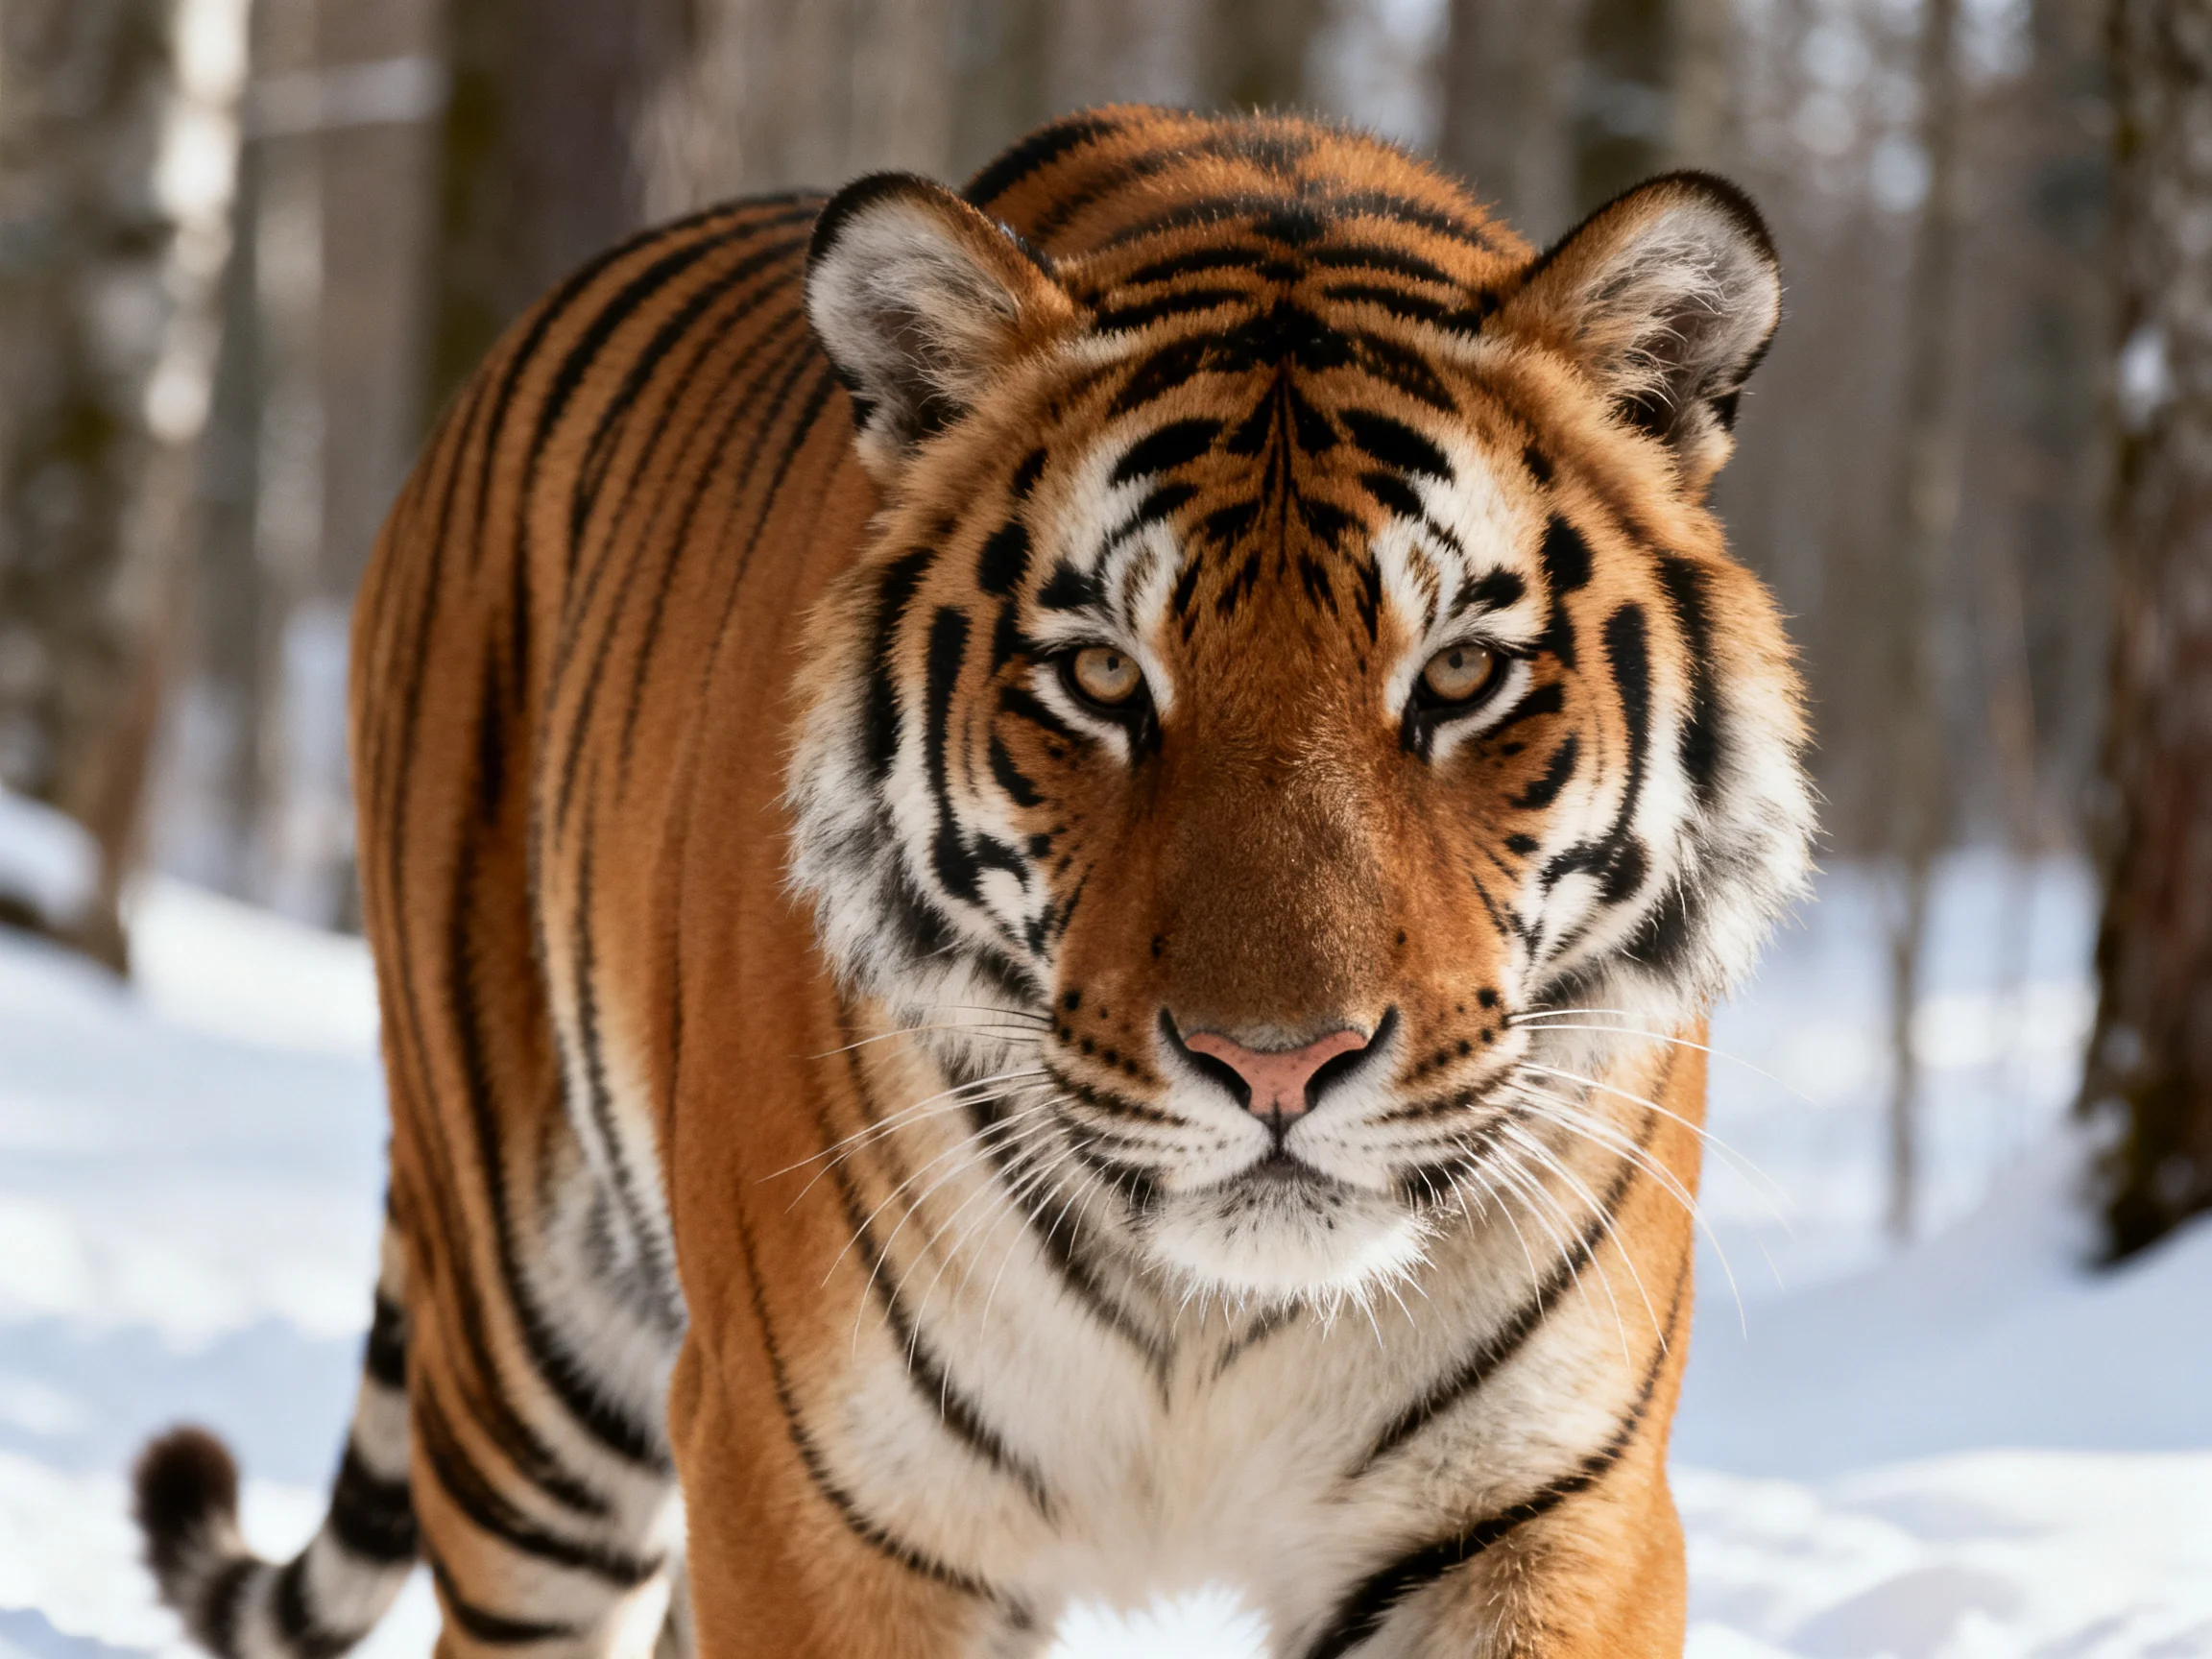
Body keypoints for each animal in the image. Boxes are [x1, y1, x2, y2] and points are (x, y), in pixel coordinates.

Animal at [133, 105, 1812, 1658]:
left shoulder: (1537, 1514)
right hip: (529, 1352)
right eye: (1100, 677)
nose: (1279, 1066)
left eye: (1460, 673)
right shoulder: (814, 1500)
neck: (1212, 1322)